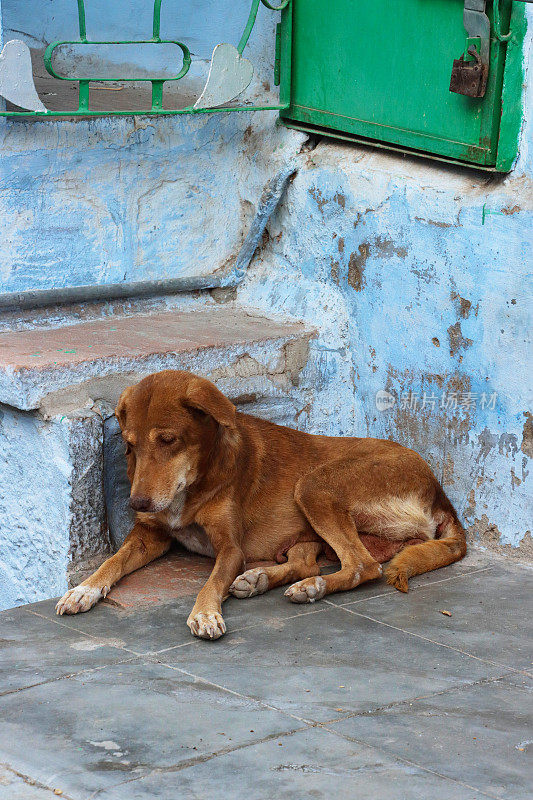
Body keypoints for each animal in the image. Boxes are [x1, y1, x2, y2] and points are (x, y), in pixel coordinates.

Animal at [56, 368, 466, 636]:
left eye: (168, 440)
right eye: (129, 445)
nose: (137, 505)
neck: (194, 483)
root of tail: (437, 489)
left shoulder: (231, 548)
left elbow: (212, 582)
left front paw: (205, 613)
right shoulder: (149, 536)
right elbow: (113, 561)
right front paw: (83, 589)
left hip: (314, 485)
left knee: (363, 566)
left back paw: (305, 587)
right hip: (308, 530)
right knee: (308, 563)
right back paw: (262, 579)